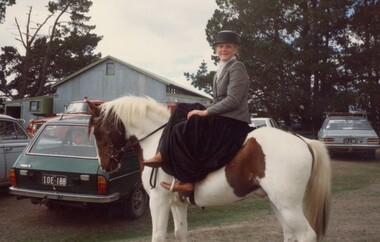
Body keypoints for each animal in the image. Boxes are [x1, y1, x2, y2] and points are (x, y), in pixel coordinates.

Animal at [87, 95, 332, 241]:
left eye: (98, 132)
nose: (105, 165)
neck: (159, 140)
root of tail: (303, 140)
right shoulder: (176, 203)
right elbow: (181, 233)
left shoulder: (158, 201)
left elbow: (158, 237)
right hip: (276, 203)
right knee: (290, 235)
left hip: (288, 206)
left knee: (306, 235)